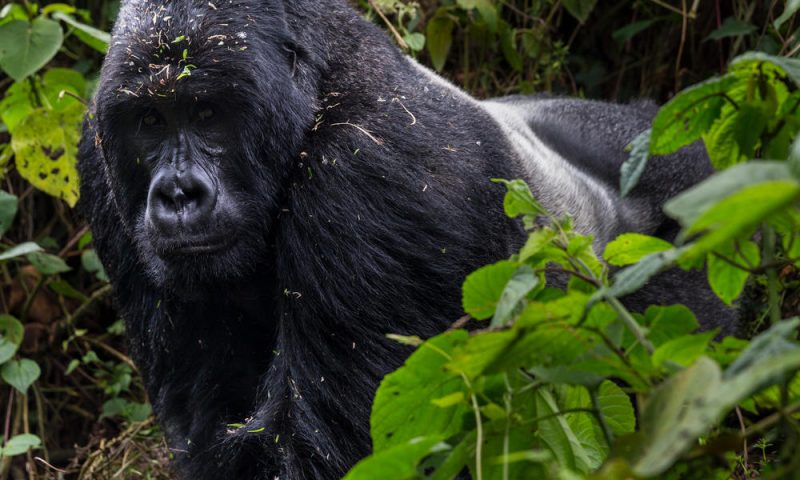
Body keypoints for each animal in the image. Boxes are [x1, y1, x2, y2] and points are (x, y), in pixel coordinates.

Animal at [78, 0, 736, 480]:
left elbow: (324, 452)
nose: (177, 194)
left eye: (209, 114)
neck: (318, 89)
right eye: (150, 122)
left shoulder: (371, 172)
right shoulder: (98, 161)